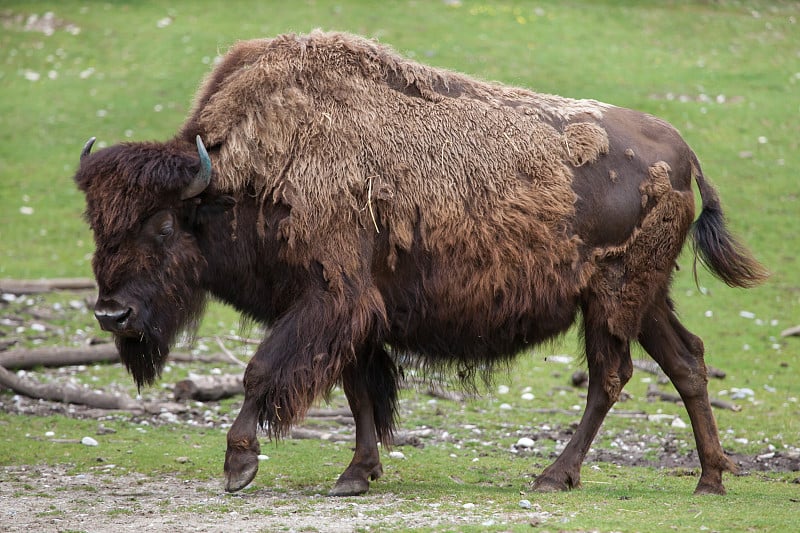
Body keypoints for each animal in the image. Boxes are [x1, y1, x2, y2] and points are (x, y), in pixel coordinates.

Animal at [76, 30, 768, 494]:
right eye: (97, 225)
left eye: (164, 224)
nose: (111, 314)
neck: (236, 178)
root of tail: (683, 152)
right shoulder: (357, 318)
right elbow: (359, 392)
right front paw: (356, 474)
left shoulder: (330, 300)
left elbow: (263, 372)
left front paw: (238, 465)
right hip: (645, 299)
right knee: (686, 362)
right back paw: (709, 479)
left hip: (612, 299)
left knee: (611, 376)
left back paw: (555, 475)